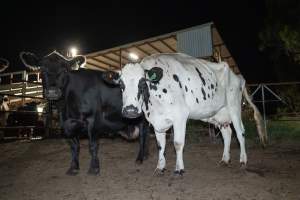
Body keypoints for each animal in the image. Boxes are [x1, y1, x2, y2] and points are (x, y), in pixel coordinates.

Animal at [19, 51, 149, 175]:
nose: (52, 91)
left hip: (142, 116)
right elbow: (74, 146)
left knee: (142, 136)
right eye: (42, 69)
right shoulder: (65, 123)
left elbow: (92, 145)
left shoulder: (93, 120)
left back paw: (140, 158)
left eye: (65, 70)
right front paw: (74, 167)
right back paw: (146, 155)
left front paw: (94, 168)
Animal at [116, 53, 266, 175]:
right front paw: (160, 167)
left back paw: (243, 160)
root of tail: (237, 76)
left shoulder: (180, 116)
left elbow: (177, 143)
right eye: (121, 85)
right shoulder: (157, 121)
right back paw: (225, 159)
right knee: (227, 133)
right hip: (219, 114)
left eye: (142, 82)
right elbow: (160, 145)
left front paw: (179, 169)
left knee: (240, 133)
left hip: (234, 107)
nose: (130, 110)